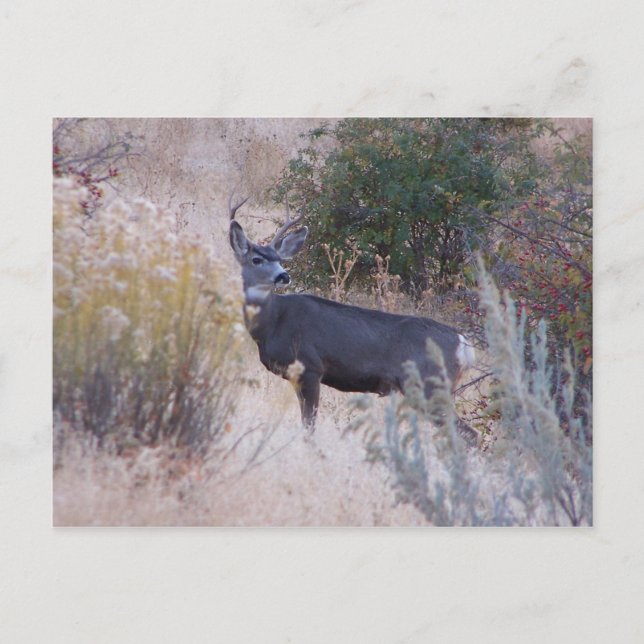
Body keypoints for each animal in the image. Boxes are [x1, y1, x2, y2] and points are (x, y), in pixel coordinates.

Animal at [228, 196, 480, 447]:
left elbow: (309, 425)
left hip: (428, 384)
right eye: (256, 259)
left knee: (468, 434)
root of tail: (463, 344)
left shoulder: (311, 368)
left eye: (279, 259)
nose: (284, 275)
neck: (273, 324)